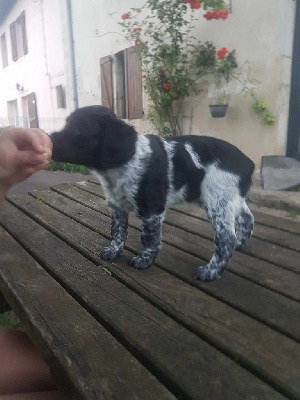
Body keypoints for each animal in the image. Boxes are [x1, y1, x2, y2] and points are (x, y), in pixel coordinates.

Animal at [50, 105, 254, 282]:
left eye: (78, 129)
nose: (49, 138)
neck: (125, 160)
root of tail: (247, 162)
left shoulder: (151, 209)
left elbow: (149, 238)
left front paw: (144, 260)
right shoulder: (117, 205)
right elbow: (117, 231)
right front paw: (114, 251)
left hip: (218, 201)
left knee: (226, 239)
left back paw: (211, 271)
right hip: (231, 199)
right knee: (247, 218)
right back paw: (239, 243)